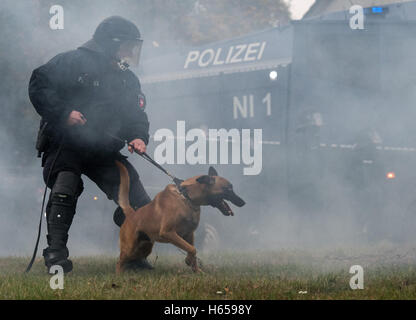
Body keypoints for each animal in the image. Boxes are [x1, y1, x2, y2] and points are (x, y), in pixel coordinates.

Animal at [114, 162, 244, 272]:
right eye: (229, 188)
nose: (243, 202)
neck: (187, 197)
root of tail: (132, 213)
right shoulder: (168, 232)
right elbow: (192, 249)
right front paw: (189, 261)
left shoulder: (189, 234)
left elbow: (192, 249)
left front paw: (196, 270)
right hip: (129, 248)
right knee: (119, 261)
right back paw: (120, 275)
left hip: (145, 247)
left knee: (134, 258)